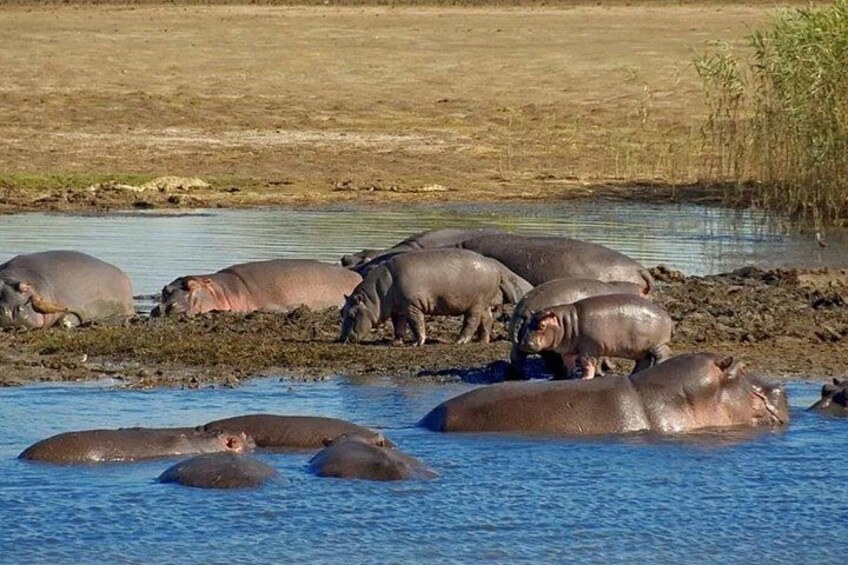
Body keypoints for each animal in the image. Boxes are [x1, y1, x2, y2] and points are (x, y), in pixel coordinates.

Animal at [339, 249, 532, 346]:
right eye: (341, 311)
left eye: (352, 314)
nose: (341, 339)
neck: (376, 296)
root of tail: (496, 268)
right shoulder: (397, 309)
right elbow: (398, 326)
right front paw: (395, 342)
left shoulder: (412, 306)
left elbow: (416, 324)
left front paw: (418, 343)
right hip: (483, 303)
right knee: (487, 321)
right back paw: (481, 341)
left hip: (475, 305)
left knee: (471, 322)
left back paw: (460, 341)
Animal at [508, 278, 650, 379]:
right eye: (651, 296)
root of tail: (525, 308)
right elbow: (602, 357)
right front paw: (603, 372)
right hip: (550, 345)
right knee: (553, 361)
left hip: (521, 344)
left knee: (516, 358)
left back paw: (520, 376)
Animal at [519, 294, 673, 379]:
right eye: (528, 322)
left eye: (542, 326)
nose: (524, 344)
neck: (565, 323)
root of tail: (667, 316)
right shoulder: (569, 350)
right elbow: (568, 362)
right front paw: (569, 376)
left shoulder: (588, 349)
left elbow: (587, 364)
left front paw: (584, 378)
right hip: (639, 349)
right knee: (643, 361)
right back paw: (633, 374)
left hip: (656, 345)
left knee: (663, 354)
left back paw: (659, 365)